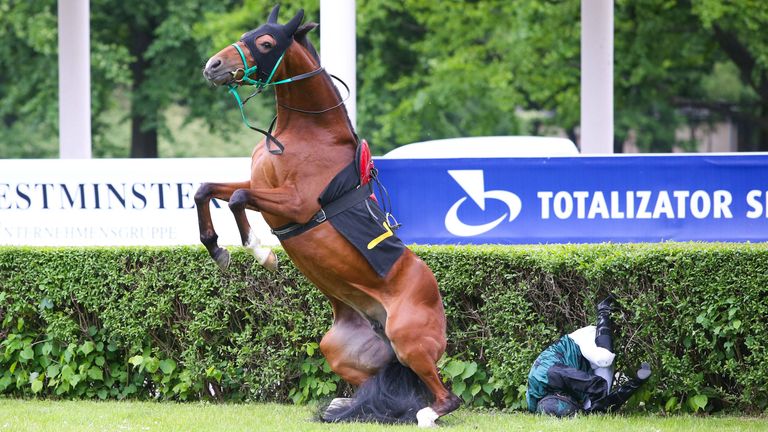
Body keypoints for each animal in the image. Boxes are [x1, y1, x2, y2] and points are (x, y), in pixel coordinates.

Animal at [196, 5, 461, 426]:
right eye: (247, 33)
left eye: (266, 42)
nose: (213, 65)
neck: (306, 133)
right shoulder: (264, 191)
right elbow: (207, 189)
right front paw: (216, 248)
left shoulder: (295, 204)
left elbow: (237, 197)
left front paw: (261, 252)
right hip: (337, 348)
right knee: (381, 388)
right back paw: (349, 406)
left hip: (409, 340)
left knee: (447, 398)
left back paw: (420, 414)